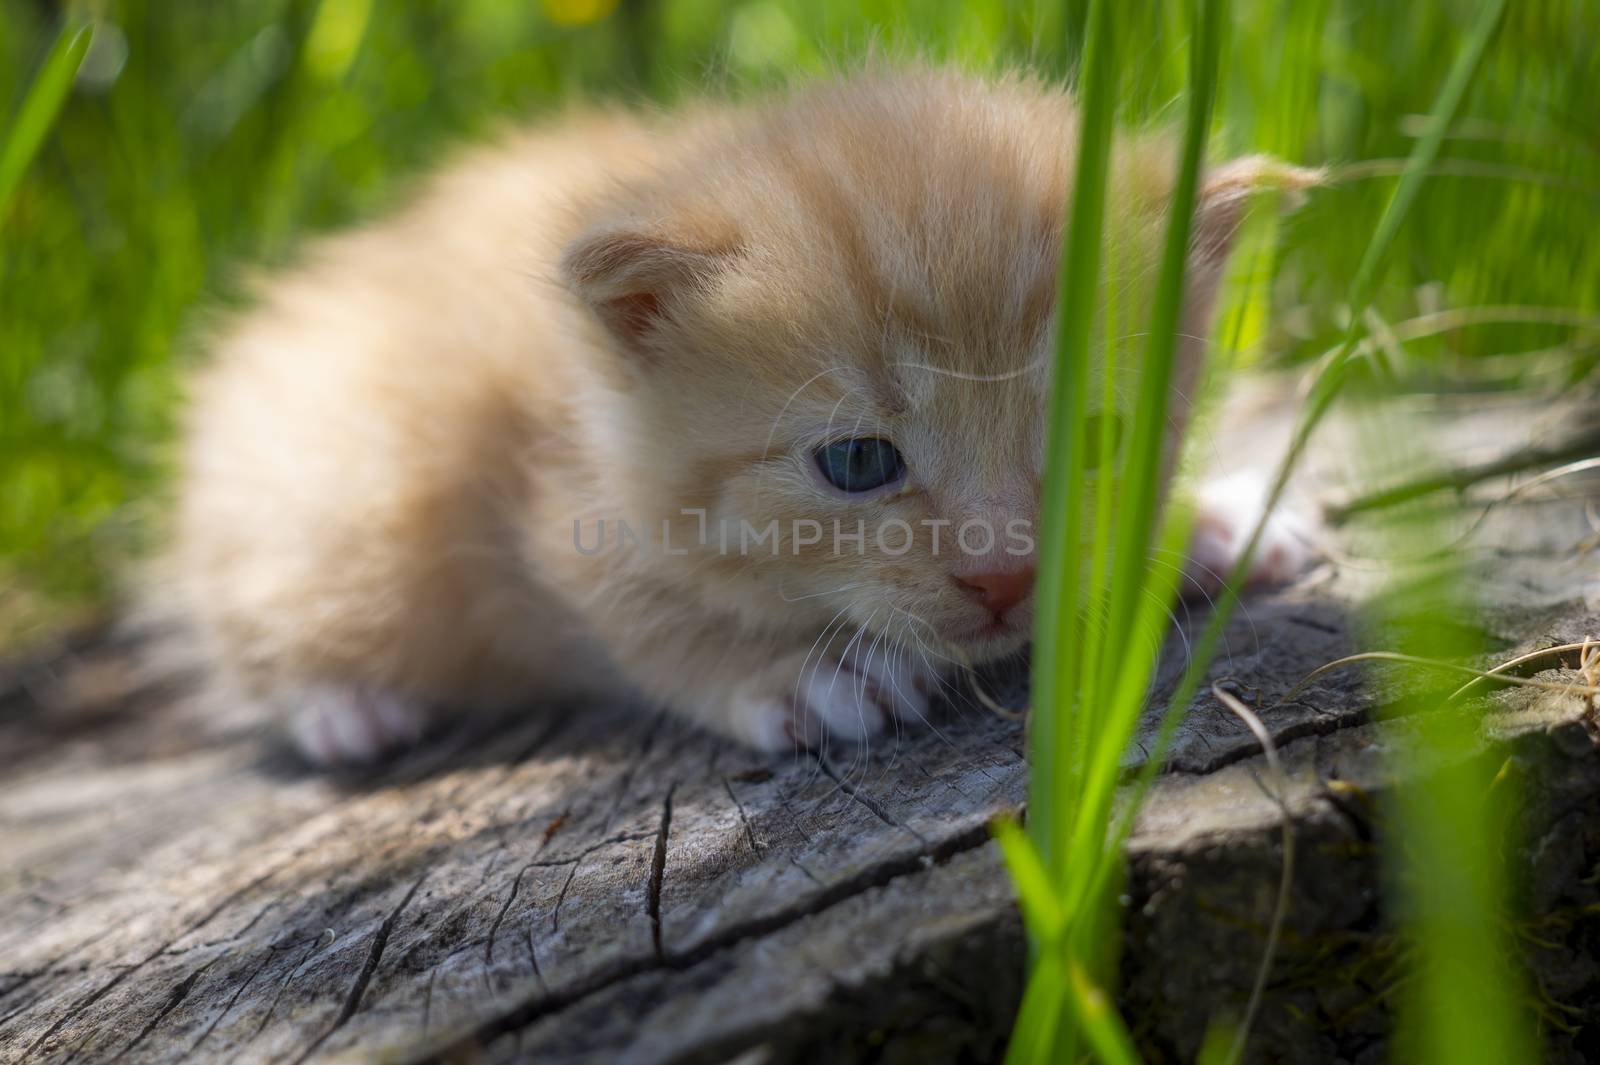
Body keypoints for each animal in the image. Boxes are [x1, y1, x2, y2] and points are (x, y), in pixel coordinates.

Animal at [159, 68, 1312, 764]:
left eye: (1100, 439)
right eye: (858, 463)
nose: (1003, 579)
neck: (593, 394)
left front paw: (1205, 526)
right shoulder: (547, 513)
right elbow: (643, 615)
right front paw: (800, 670)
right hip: (324, 509)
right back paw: (342, 707)